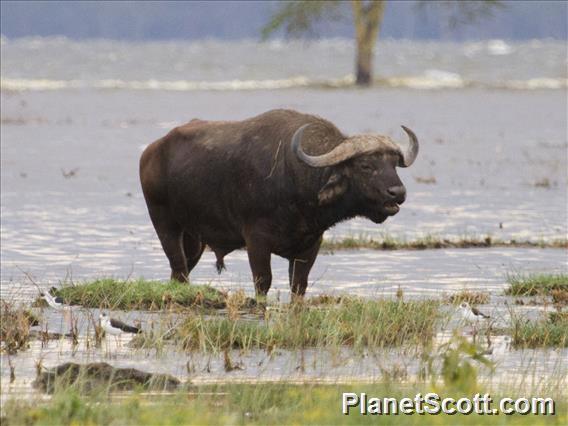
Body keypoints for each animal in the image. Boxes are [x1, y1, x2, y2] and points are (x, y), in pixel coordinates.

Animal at [140, 108, 420, 298]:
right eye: (365, 165)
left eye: (393, 164)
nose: (397, 192)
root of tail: (151, 151)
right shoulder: (256, 241)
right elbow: (263, 282)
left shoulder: (311, 245)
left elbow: (299, 286)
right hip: (164, 223)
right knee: (179, 267)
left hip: (194, 238)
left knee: (180, 272)